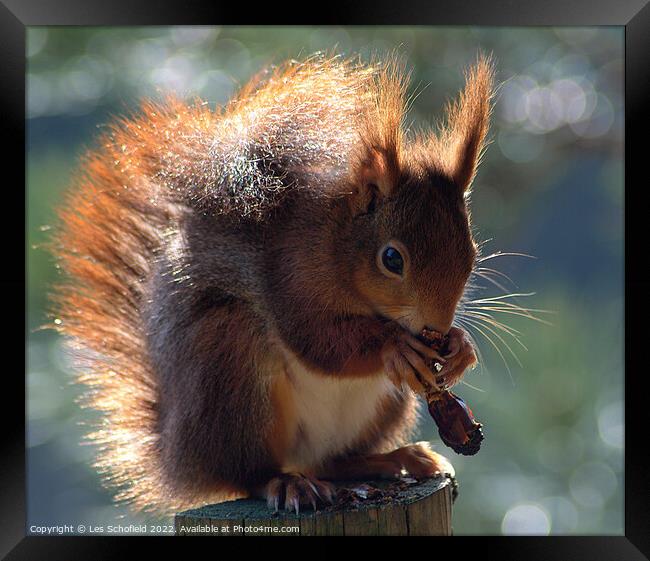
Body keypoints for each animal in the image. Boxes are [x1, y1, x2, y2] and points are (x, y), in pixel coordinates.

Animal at [52, 54, 492, 516]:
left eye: (472, 251)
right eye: (391, 259)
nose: (436, 326)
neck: (335, 242)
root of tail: (180, 460)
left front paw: (461, 347)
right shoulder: (290, 276)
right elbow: (317, 342)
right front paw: (396, 346)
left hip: (381, 409)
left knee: (333, 461)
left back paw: (394, 459)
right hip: (232, 367)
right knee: (247, 473)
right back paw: (286, 483)